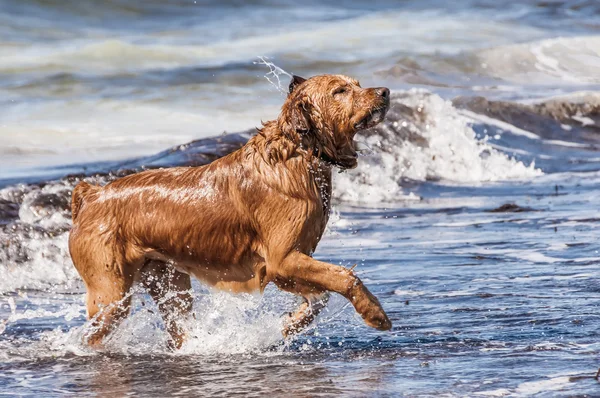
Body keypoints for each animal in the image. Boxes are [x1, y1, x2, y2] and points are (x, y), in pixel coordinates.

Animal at [69, 74, 394, 348]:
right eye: (340, 91)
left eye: (357, 83)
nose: (385, 91)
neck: (299, 153)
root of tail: (92, 195)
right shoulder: (282, 258)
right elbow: (344, 277)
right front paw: (374, 313)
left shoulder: (287, 265)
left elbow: (320, 297)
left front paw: (289, 324)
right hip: (111, 292)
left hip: (169, 282)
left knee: (179, 328)